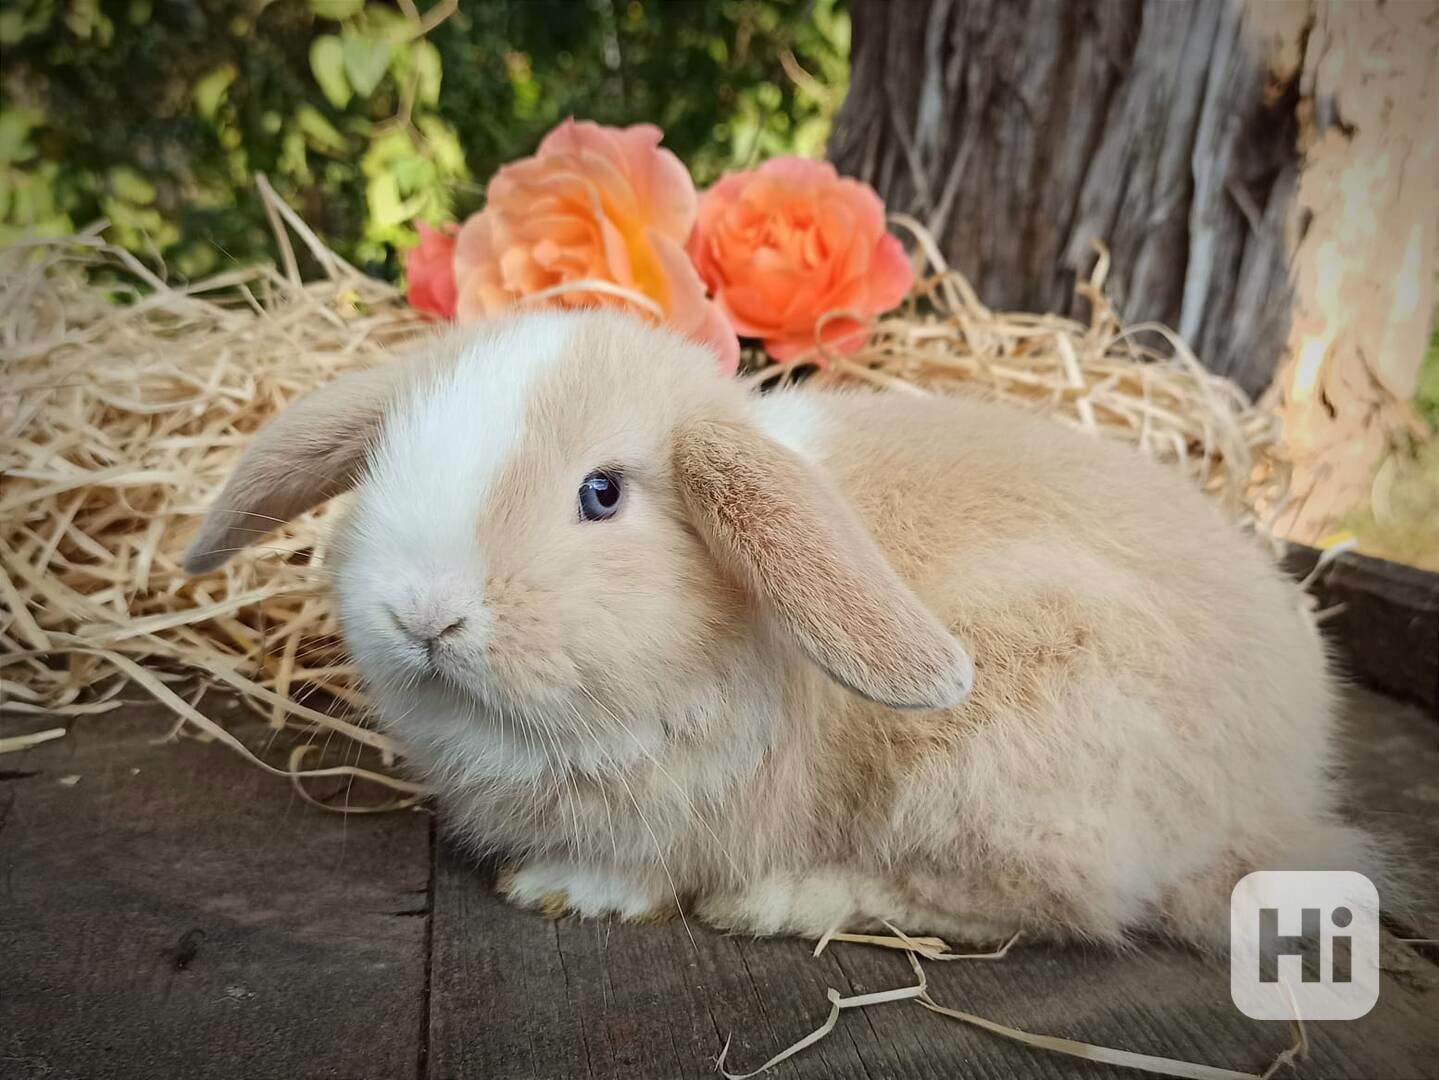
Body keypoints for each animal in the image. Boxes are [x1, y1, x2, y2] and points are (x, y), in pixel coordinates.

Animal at [185, 306, 1375, 943]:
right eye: (387, 459)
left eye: (602, 494)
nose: (423, 613)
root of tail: (1281, 794)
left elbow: (639, 868)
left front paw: (563, 892)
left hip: (1002, 776)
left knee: (1045, 903)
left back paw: (777, 903)